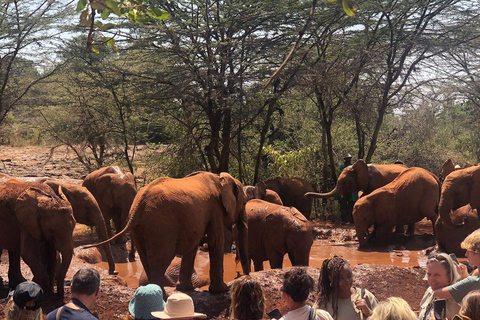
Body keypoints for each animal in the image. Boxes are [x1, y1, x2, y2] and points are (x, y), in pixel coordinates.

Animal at [86, 171, 249, 294]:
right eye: (245, 202)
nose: (243, 276)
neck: (219, 178)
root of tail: (138, 206)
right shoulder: (215, 208)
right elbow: (215, 241)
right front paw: (222, 290)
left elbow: (193, 245)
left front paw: (185, 289)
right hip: (161, 226)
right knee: (161, 259)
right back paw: (161, 295)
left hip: (143, 228)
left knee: (147, 259)